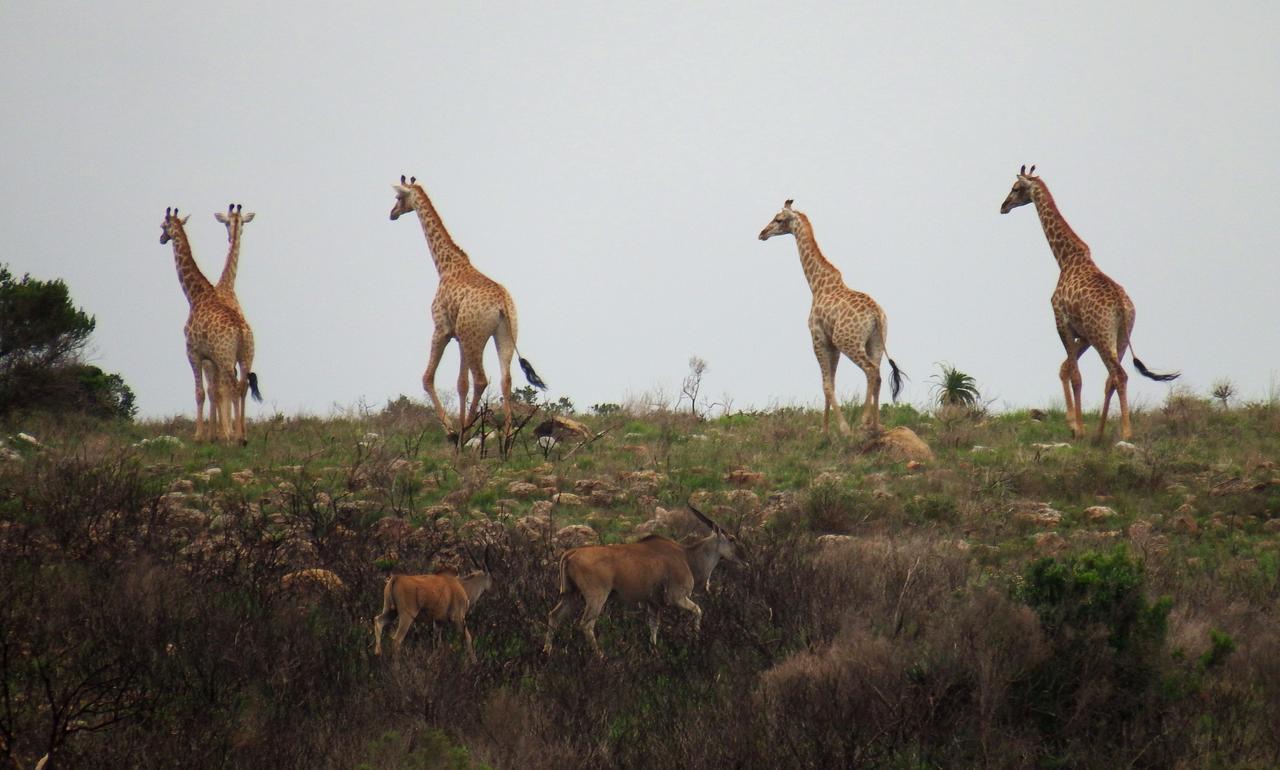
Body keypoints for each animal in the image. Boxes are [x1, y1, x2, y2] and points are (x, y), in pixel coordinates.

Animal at [159, 207, 259, 440]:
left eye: (162, 226)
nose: (161, 238)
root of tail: (241, 329)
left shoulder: (194, 352)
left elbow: (202, 392)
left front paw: (201, 436)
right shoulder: (211, 358)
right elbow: (214, 391)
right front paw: (215, 434)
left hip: (224, 357)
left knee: (230, 387)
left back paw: (233, 436)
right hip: (245, 355)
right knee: (241, 387)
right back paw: (239, 435)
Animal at [384, 170, 545, 440]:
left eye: (398, 197)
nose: (392, 214)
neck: (445, 265)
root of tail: (502, 304)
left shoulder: (442, 329)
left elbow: (428, 378)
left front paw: (451, 428)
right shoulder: (459, 336)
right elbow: (461, 383)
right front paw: (457, 424)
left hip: (475, 336)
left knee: (481, 379)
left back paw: (467, 428)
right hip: (503, 334)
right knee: (505, 379)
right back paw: (506, 432)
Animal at [542, 501, 747, 654]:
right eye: (732, 539)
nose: (744, 559)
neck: (687, 557)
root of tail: (570, 553)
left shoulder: (653, 603)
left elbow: (653, 625)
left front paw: (654, 649)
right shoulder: (676, 597)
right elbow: (698, 611)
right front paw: (696, 638)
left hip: (571, 594)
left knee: (554, 616)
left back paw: (547, 651)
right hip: (596, 597)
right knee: (586, 624)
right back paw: (600, 655)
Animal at [752, 200, 906, 434]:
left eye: (778, 219)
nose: (762, 233)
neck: (817, 285)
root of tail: (876, 314)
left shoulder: (819, 339)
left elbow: (826, 384)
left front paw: (842, 428)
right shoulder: (831, 344)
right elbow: (830, 383)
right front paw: (825, 431)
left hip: (849, 342)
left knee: (870, 371)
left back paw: (862, 422)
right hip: (876, 342)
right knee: (878, 373)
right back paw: (875, 425)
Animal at [998, 165, 1177, 440]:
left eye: (1016, 188)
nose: (1003, 206)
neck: (1066, 258)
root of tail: (1122, 307)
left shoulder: (1062, 323)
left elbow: (1075, 375)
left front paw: (1078, 428)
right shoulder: (1083, 334)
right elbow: (1065, 369)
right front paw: (1076, 424)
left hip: (1102, 335)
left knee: (1119, 375)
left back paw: (1125, 433)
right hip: (1119, 336)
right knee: (1111, 378)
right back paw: (1101, 433)